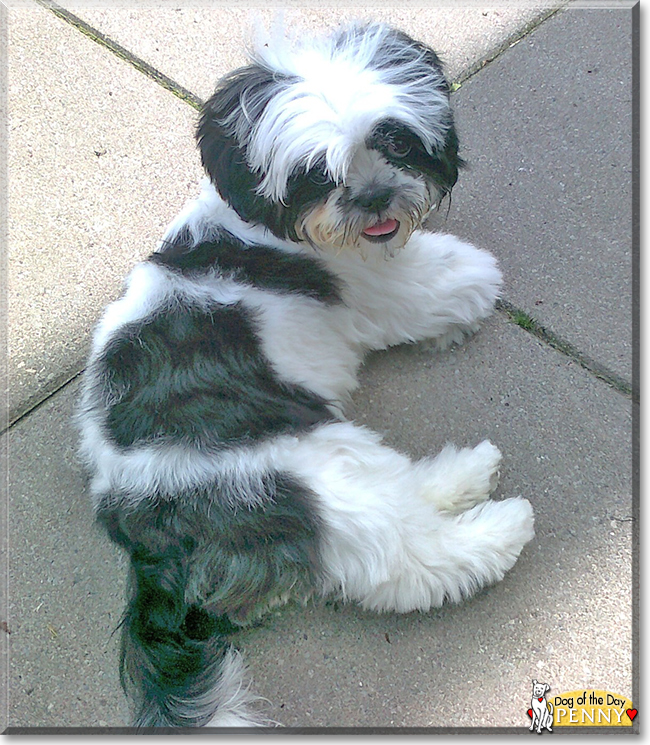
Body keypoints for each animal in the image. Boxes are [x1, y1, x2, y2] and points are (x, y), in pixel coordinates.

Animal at [76, 21, 532, 728]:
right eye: (316, 174)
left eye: (392, 140)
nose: (373, 198)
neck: (271, 224)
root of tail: (143, 530)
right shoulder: (381, 288)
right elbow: (446, 284)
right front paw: (473, 282)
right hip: (301, 472)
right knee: (402, 556)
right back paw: (497, 531)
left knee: (400, 491)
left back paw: (464, 475)